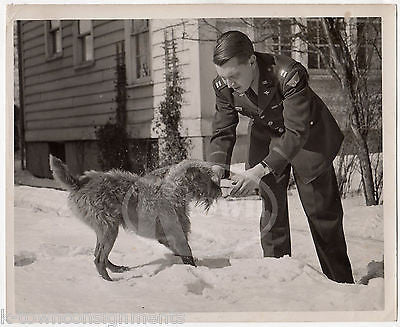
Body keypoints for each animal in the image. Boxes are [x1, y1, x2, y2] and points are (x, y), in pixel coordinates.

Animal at [49, 156, 222, 282]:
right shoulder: (178, 235)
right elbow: (188, 254)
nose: (220, 191)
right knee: (98, 259)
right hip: (109, 228)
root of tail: (79, 184)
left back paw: (116, 268)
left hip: (104, 229)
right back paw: (108, 281)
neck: (174, 192)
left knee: (98, 254)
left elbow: (180, 252)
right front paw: (194, 270)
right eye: (208, 178)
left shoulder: (168, 237)